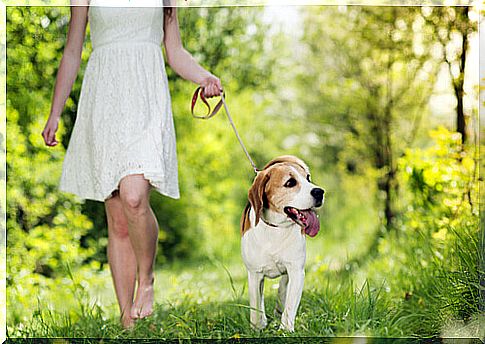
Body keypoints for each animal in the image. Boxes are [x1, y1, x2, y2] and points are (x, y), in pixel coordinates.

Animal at [240, 155, 324, 330]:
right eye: (290, 183)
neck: (276, 229)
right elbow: (256, 305)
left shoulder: (296, 271)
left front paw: (285, 329)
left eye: (308, 178)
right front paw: (257, 327)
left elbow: (290, 305)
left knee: (283, 286)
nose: (320, 192)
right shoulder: (254, 274)